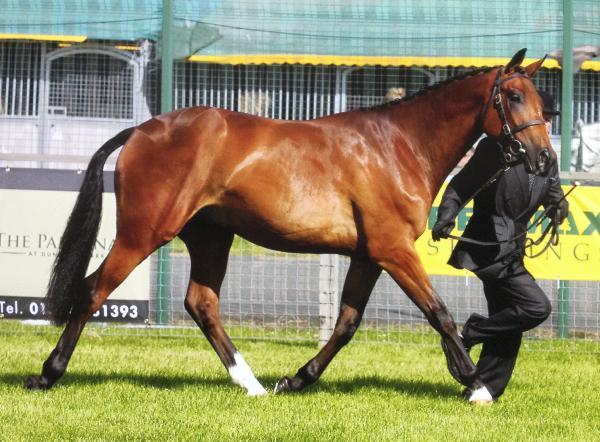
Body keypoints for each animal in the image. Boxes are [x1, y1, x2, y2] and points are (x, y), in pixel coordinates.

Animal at [26, 49, 554, 397]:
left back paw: (254, 384)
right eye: (512, 96)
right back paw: (48, 373)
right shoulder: (393, 250)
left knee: (202, 304)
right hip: (144, 233)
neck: (397, 145)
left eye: (541, 101)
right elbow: (438, 312)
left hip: (211, 236)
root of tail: (142, 129)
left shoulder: (368, 255)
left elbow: (346, 324)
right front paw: (476, 383)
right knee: (93, 291)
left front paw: (296, 379)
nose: (545, 160)